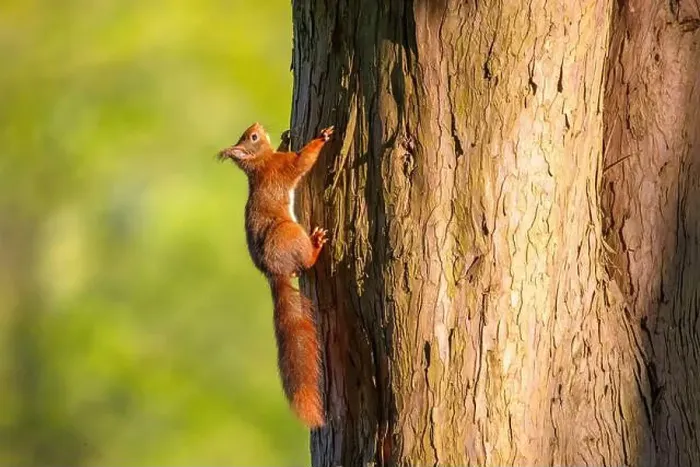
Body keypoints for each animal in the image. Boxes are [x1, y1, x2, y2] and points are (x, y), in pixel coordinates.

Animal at [218, 122, 334, 428]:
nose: (257, 125)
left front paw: (285, 137)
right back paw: (316, 245)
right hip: (290, 233)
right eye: (253, 137)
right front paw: (321, 138)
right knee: (307, 260)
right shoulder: (283, 167)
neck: (259, 163)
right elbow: (302, 161)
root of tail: (275, 272)